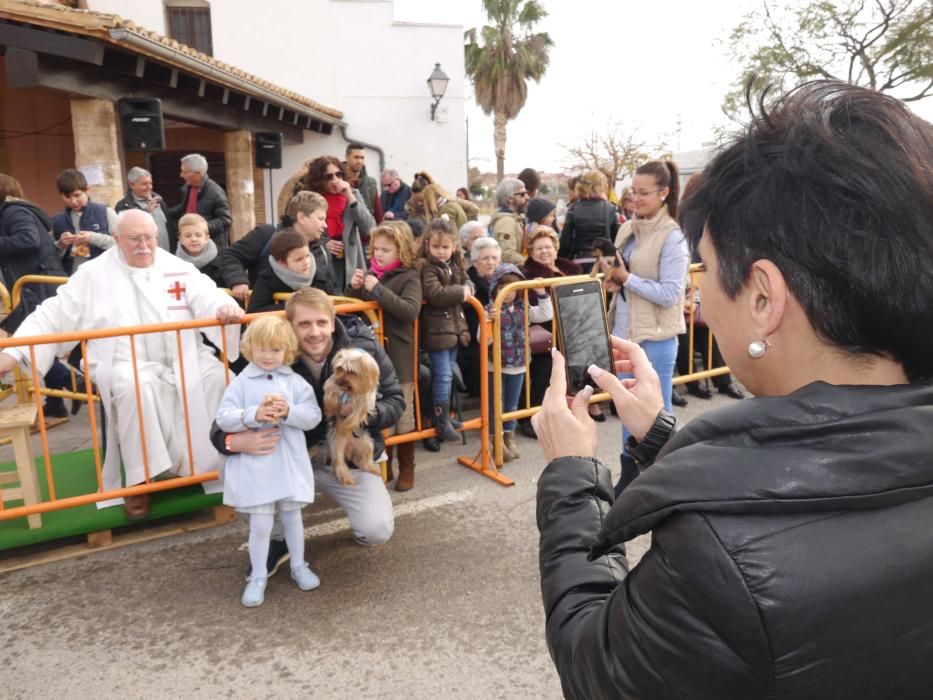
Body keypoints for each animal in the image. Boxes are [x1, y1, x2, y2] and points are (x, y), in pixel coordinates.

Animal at [320, 348, 378, 484]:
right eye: (340, 369)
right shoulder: (332, 382)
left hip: (367, 443)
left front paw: (345, 427)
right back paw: (346, 477)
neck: (350, 390)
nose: (340, 381)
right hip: (336, 446)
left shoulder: (365, 402)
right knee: (339, 462)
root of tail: (349, 448)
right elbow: (330, 387)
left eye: (352, 372)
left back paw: (371, 467)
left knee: (363, 461)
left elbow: (356, 416)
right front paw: (330, 407)